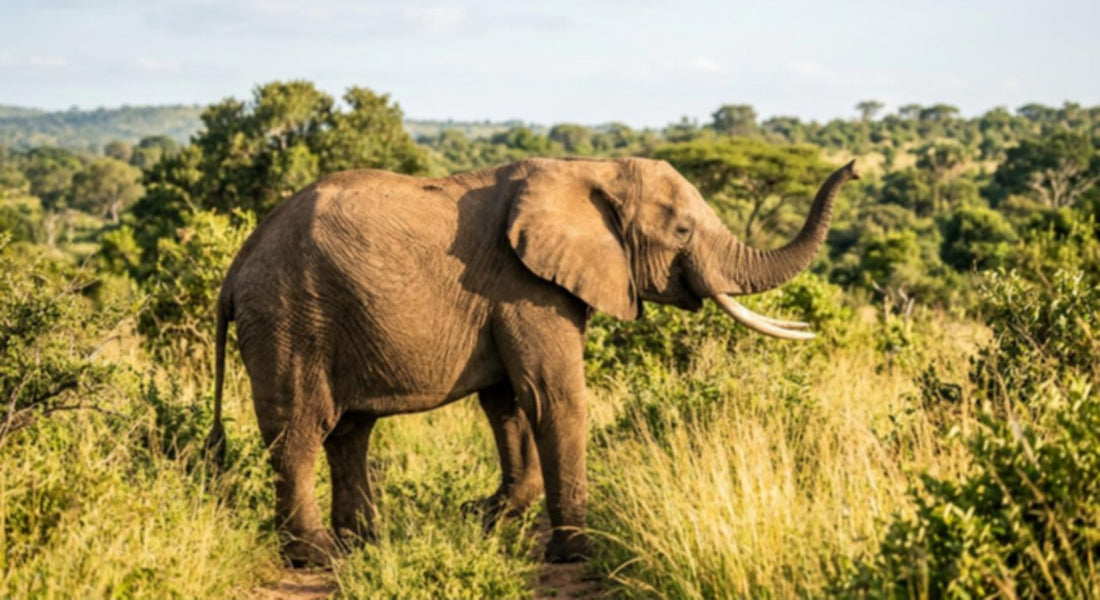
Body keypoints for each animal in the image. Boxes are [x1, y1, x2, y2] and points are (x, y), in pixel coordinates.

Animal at [207, 156, 859, 566]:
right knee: (299, 430)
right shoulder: (526, 288)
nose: (853, 168)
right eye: (681, 231)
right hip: (290, 318)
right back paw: (314, 555)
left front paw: (488, 517)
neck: (591, 168)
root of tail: (235, 270)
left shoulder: (509, 297)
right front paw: (575, 552)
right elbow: (554, 397)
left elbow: (510, 405)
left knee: (349, 431)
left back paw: (362, 542)